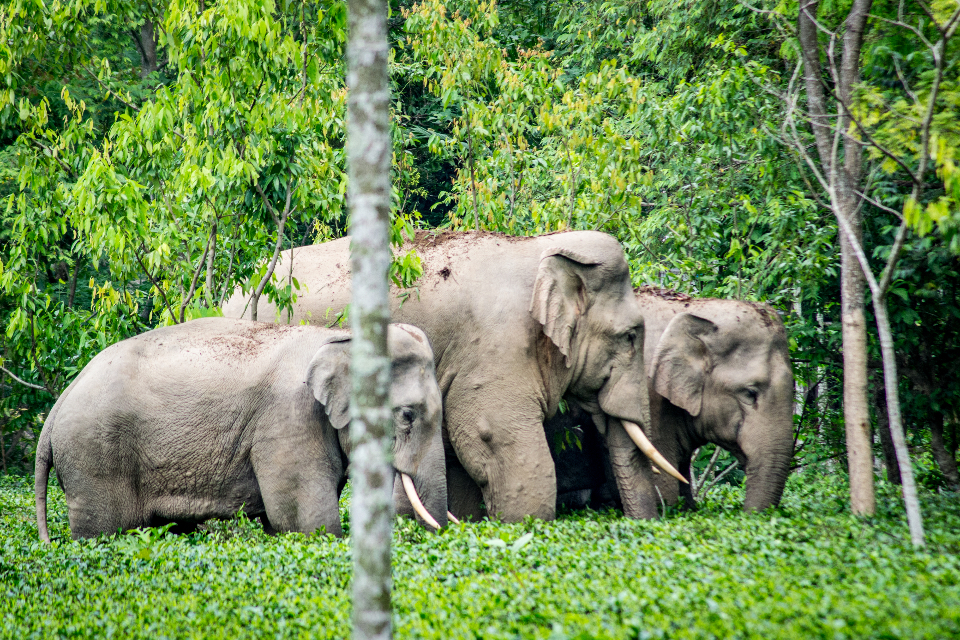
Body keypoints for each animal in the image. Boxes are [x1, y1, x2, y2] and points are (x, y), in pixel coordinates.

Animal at [34, 318, 446, 541]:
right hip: (94, 456)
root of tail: (59, 404)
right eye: (407, 415)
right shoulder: (288, 421)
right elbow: (307, 521)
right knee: (105, 531)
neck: (342, 338)